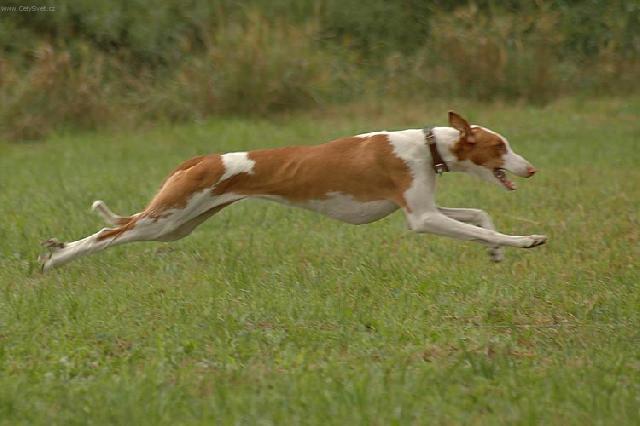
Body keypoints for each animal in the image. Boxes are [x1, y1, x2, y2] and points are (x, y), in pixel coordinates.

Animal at [38, 111, 544, 272]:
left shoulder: (426, 208)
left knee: (115, 230)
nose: (532, 168)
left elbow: (479, 217)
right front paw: (525, 241)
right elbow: (485, 227)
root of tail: (201, 159)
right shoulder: (422, 218)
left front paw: (498, 253)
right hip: (166, 218)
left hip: (178, 225)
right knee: (107, 236)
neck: (426, 144)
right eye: (501, 146)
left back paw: (56, 252)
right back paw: (55, 260)